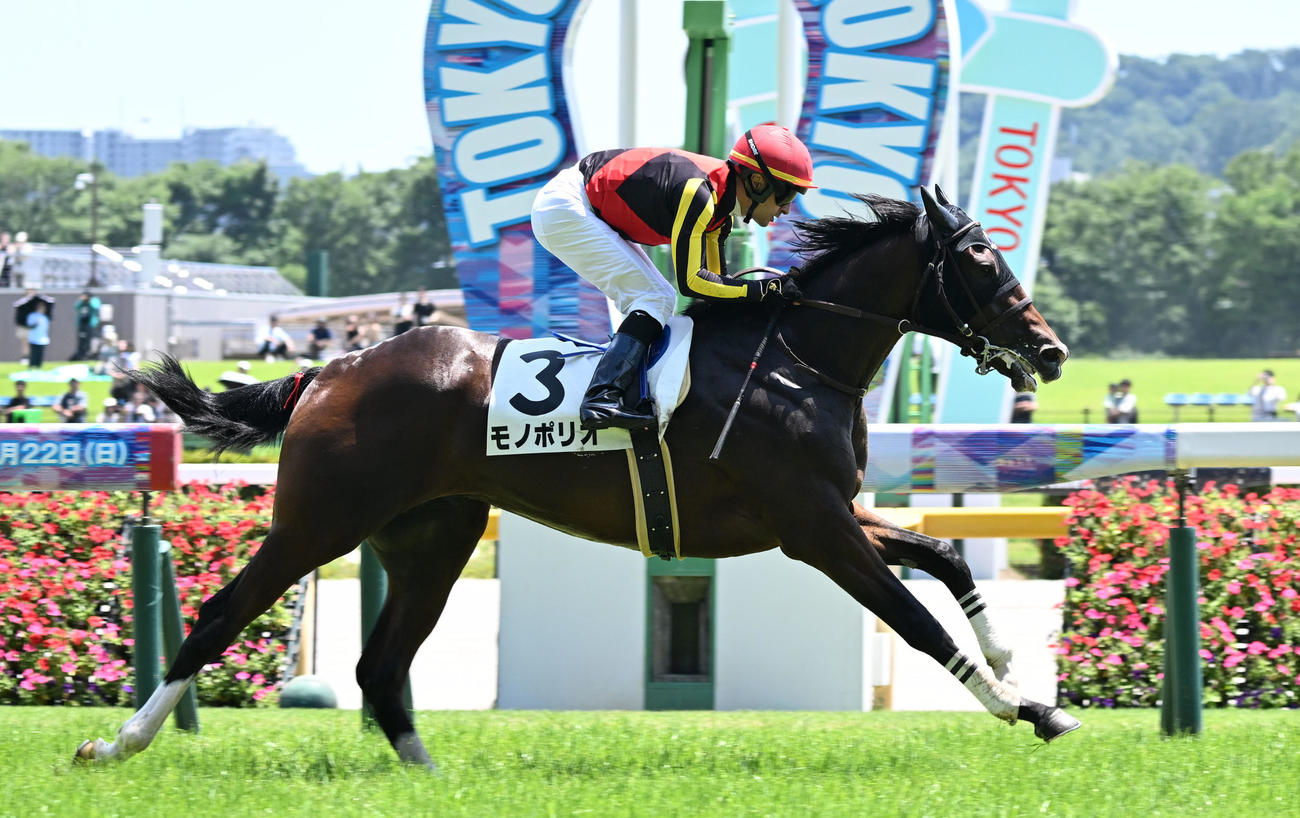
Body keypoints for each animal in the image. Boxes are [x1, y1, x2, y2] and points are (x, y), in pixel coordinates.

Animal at [76, 187, 1076, 769]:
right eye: (980, 260)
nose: (1052, 352)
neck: (796, 358)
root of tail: (331, 369)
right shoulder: (814, 530)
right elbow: (915, 621)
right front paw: (1016, 705)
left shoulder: (837, 513)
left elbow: (946, 559)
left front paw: (1019, 673)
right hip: (319, 523)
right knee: (220, 617)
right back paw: (119, 742)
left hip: (432, 538)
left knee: (381, 662)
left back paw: (429, 776)